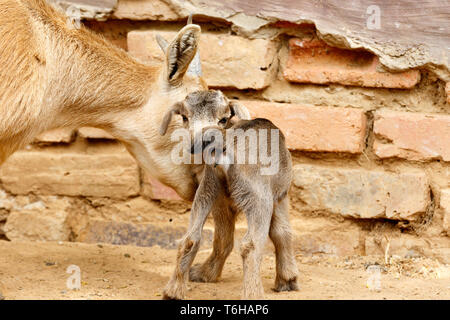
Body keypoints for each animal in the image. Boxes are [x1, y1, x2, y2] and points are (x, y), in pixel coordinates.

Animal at [159, 90, 298, 300]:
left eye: (223, 118)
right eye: (184, 117)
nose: (201, 140)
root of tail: (226, 148)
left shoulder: (220, 201)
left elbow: (222, 237)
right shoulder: (280, 196)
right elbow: (282, 232)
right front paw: (287, 280)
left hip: (208, 189)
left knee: (190, 238)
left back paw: (175, 290)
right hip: (258, 197)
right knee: (251, 245)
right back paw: (253, 294)